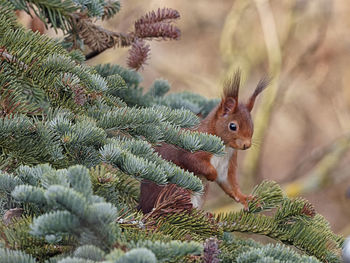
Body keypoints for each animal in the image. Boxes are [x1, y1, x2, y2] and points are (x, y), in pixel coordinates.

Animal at [137, 71, 268, 213]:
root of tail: (142, 207)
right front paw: (212, 175)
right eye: (233, 126)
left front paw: (245, 198)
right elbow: (192, 160)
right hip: (176, 187)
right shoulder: (195, 148)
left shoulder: (228, 162)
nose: (247, 145)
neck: (225, 147)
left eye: (252, 125)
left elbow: (230, 184)